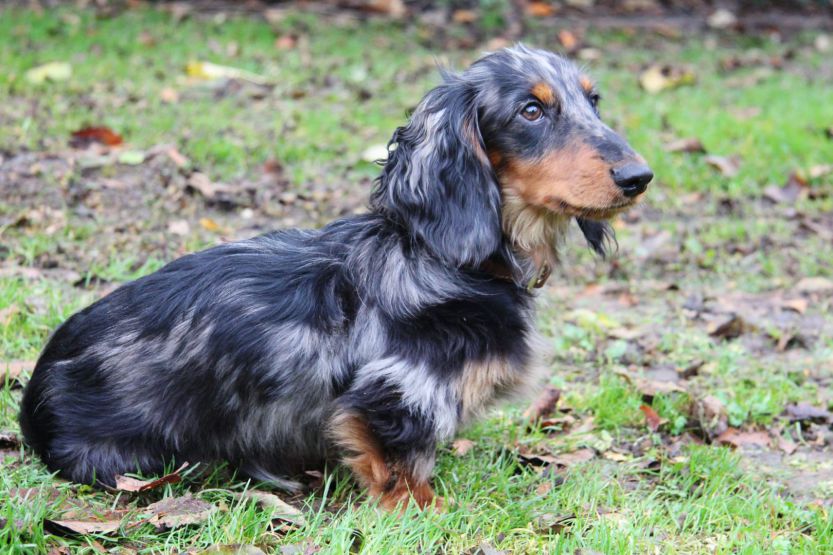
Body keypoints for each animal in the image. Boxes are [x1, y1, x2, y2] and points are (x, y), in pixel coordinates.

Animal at [20, 45, 651, 510]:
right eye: (531, 111)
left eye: (593, 100)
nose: (639, 176)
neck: (443, 259)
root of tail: (32, 403)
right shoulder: (392, 394)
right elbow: (401, 466)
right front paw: (426, 511)